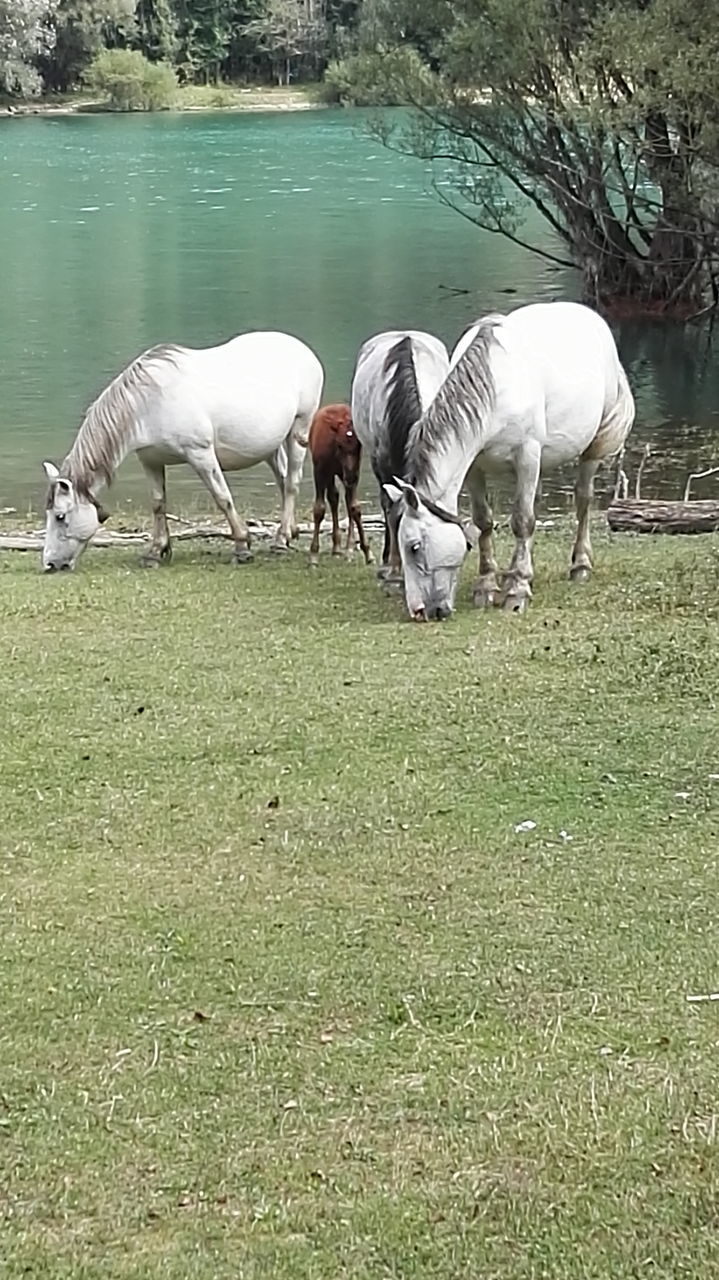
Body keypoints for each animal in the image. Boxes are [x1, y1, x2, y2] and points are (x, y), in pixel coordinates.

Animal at [37, 330, 319, 570]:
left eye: (60, 516)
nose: (50, 563)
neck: (150, 403)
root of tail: (302, 349)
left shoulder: (201, 454)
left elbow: (223, 498)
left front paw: (242, 545)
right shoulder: (151, 460)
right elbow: (158, 504)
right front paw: (155, 552)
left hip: (300, 429)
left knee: (291, 483)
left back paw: (280, 541)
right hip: (271, 446)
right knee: (283, 480)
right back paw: (290, 532)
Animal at [381, 299, 632, 619]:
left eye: (414, 546)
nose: (420, 611)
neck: (496, 386)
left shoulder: (527, 455)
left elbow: (523, 521)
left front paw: (517, 590)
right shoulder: (475, 467)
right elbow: (484, 520)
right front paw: (487, 585)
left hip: (591, 448)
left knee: (583, 501)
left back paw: (580, 565)